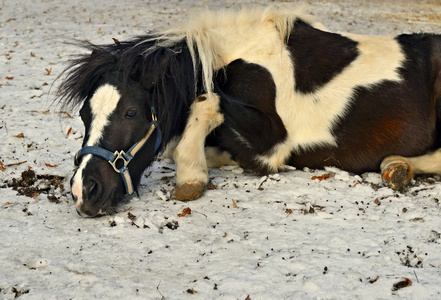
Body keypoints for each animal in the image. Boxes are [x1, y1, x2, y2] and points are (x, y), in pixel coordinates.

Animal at [58, 7, 440, 217]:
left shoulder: (273, 144)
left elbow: (208, 101)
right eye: (84, 116)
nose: (83, 191)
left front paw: (190, 177)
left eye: (131, 113)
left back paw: (396, 167)